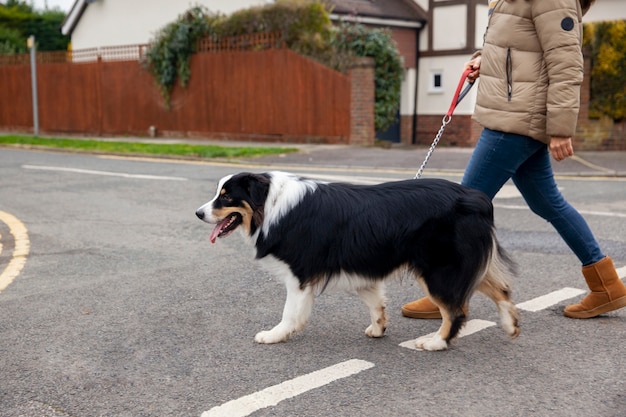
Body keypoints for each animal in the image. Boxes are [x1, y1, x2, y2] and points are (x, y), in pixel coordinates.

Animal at [195, 171, 516, 350]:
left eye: (226, 197)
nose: (198, 213)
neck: (271, 203)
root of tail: (478, 199)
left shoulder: (299, 274)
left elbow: (290, 312)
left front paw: (275, 335)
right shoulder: (362, 266)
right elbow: (375, 302)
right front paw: (378, 328)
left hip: (439, 269)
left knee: (456, 310)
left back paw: (436, 342)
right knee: (500, 289)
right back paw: (511, 324)